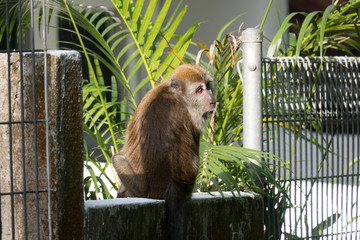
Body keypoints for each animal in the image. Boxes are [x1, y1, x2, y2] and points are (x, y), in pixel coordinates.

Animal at [111, 64, 215, 240]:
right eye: (199, 90)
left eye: (207, 86)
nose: (212, 100)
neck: (175, 95)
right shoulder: (191, 116)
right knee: (117, 159)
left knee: (118, 159)